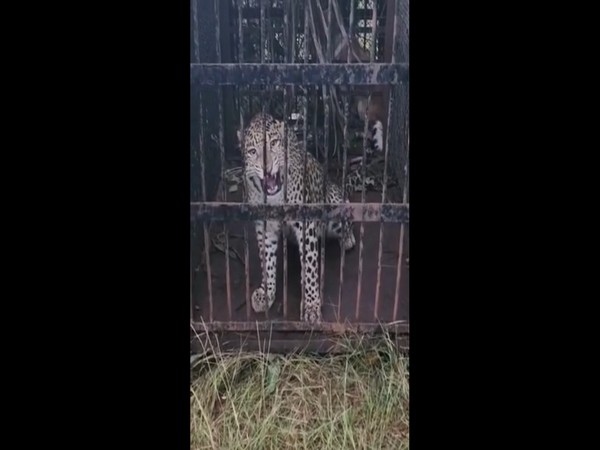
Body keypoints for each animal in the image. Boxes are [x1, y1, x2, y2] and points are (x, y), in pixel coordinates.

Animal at [237, 112, 354, 324]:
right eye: (252, 151)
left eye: (274, 143)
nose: (266, 168)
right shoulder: (264, 226)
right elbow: (266, 261)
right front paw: (266, 293)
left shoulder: (306, 224)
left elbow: (309, 267)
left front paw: (311, 305)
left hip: (334, 205)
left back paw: (347, 239)